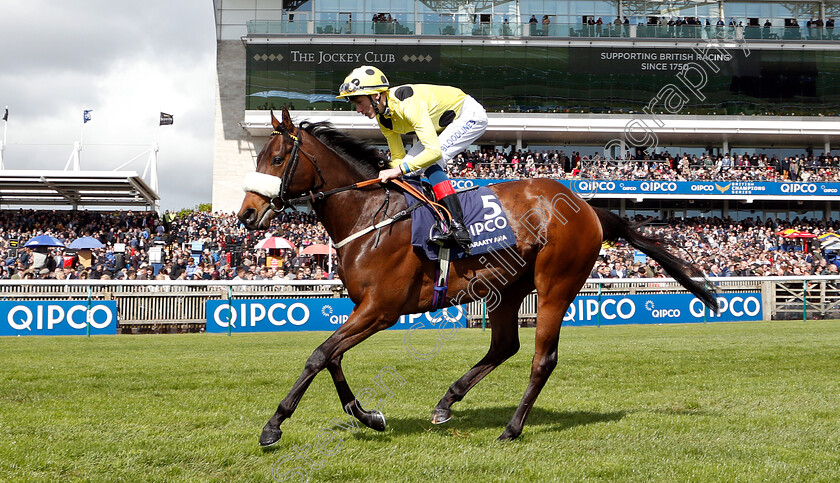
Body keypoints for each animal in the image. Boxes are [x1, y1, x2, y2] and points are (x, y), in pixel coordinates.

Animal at [236, 108, 716, 446]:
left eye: (277, 158)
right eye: (256, 156)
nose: (246, 214)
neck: (370, 215)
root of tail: (586, 206)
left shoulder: (380, 310)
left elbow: (318, 355)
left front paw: (274, 425)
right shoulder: (363, 309)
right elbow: (332, 358)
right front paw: (370, 417)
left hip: (556, 284)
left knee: (542, 358)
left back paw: (512, 428)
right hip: (507, 288)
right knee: (504, 345)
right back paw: (446, 402)